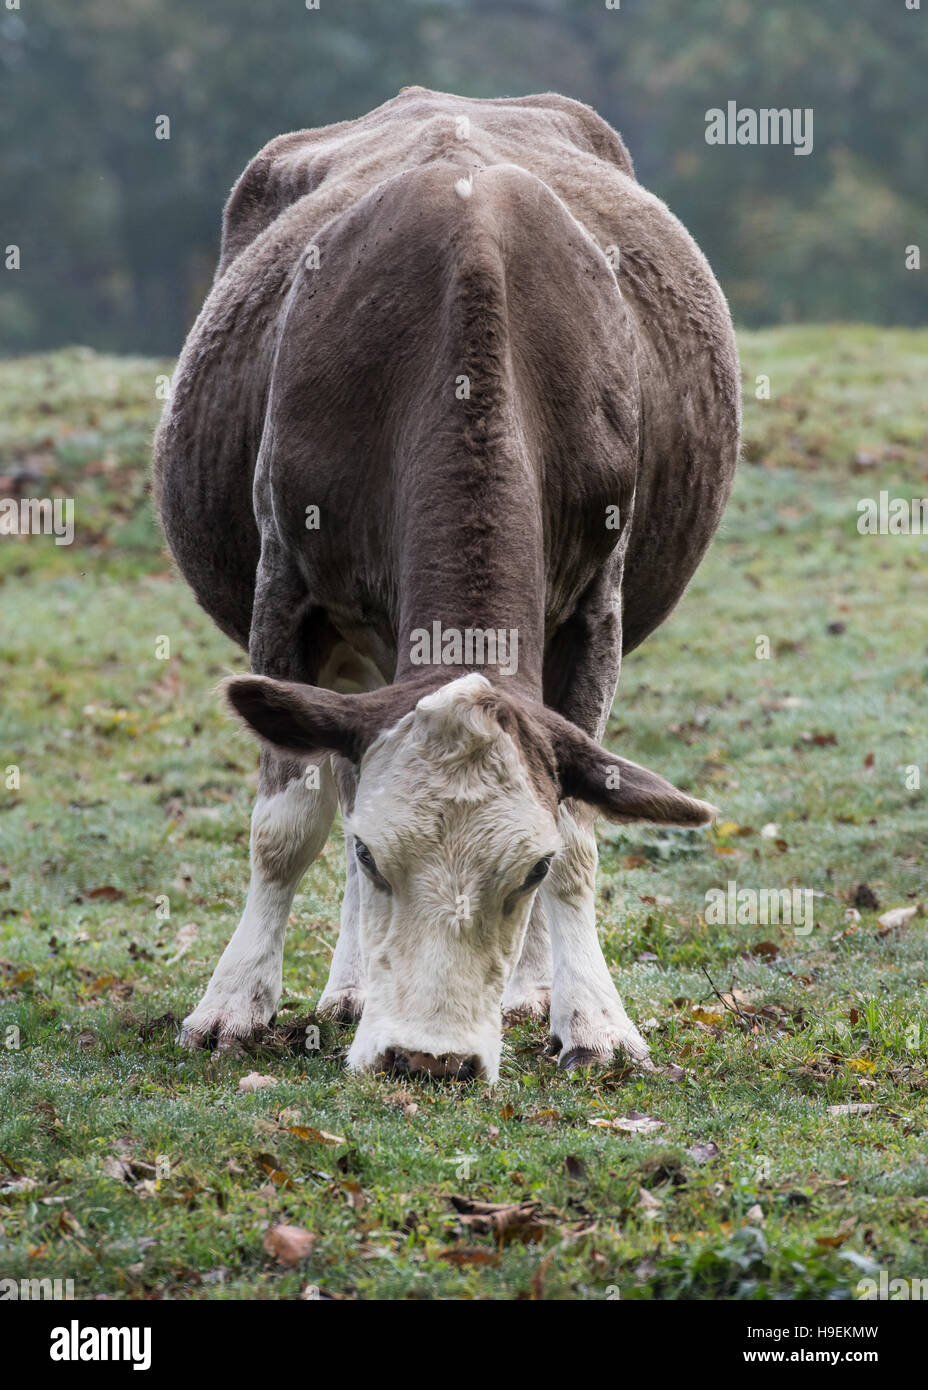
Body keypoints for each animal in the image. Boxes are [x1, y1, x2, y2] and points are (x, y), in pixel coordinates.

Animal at [153, 87, 740, 1082]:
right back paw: (352, 988)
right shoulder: (287, 590)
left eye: (526, 872)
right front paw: (232, 1003)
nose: (429, 1059)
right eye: (371, 858)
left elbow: (579, 828)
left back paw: (528, 993)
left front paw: (592, 1018)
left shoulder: (595, 608)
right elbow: (289, 821)